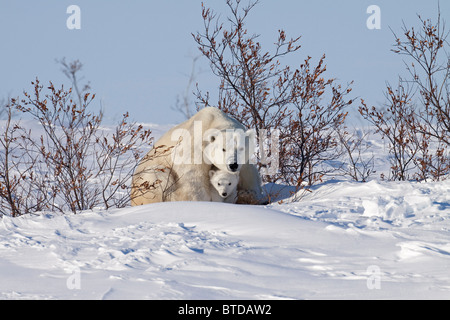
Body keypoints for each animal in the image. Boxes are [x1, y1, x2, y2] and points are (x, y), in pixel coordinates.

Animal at [130, 107, 264, 205]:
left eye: (241, 148)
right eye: (223, 149)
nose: (233, 165)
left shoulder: (245, 165)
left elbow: (250, 177)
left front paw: (247, 195)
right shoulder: (194, 149)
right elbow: (193, 180)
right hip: (145, 180)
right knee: (156, 176)